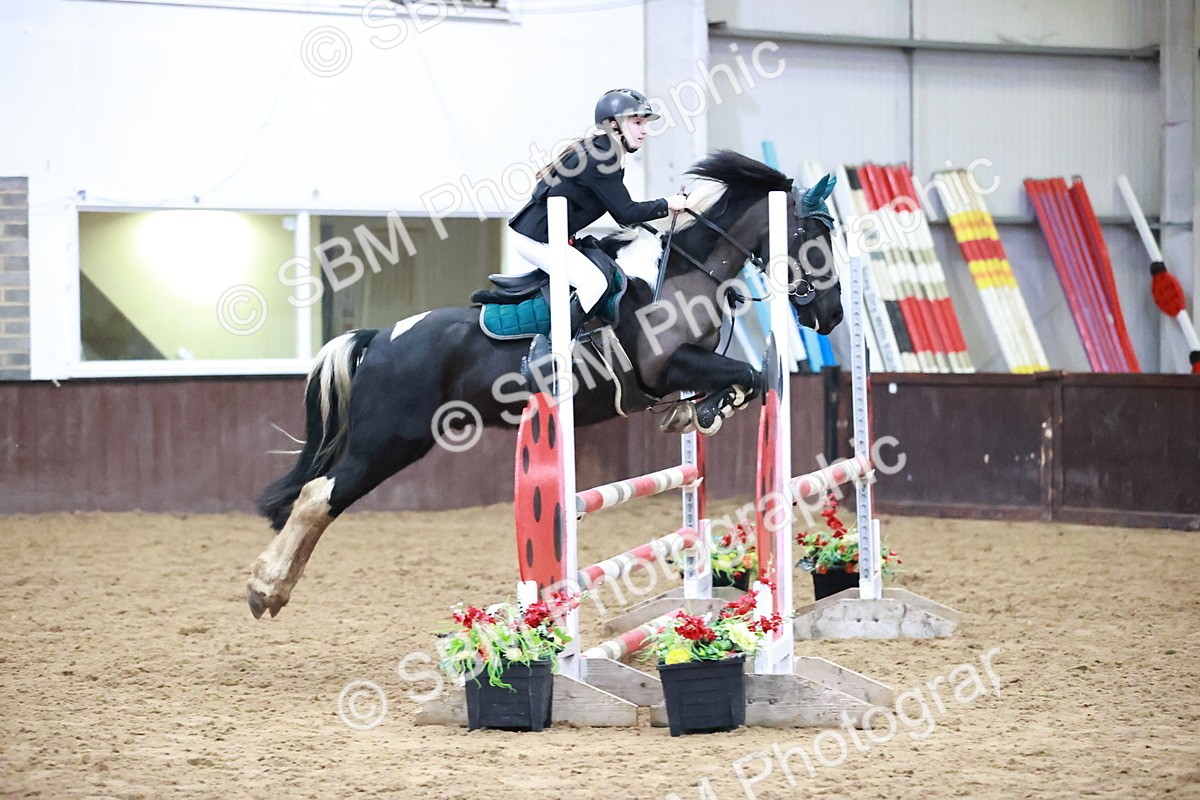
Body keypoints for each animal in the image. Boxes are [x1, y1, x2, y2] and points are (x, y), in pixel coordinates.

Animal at [246, 150, 843, 619]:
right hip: (389, 442)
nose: (833, 316)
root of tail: (382, 338)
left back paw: (275, 587)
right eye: (813, 237)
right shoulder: (666, 368)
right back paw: (266, 588)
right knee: (317, 496)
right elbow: (748, 376)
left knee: (316, 498)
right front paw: (708, 407)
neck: (685, 271)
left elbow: (741, 382)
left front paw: (699, 411)